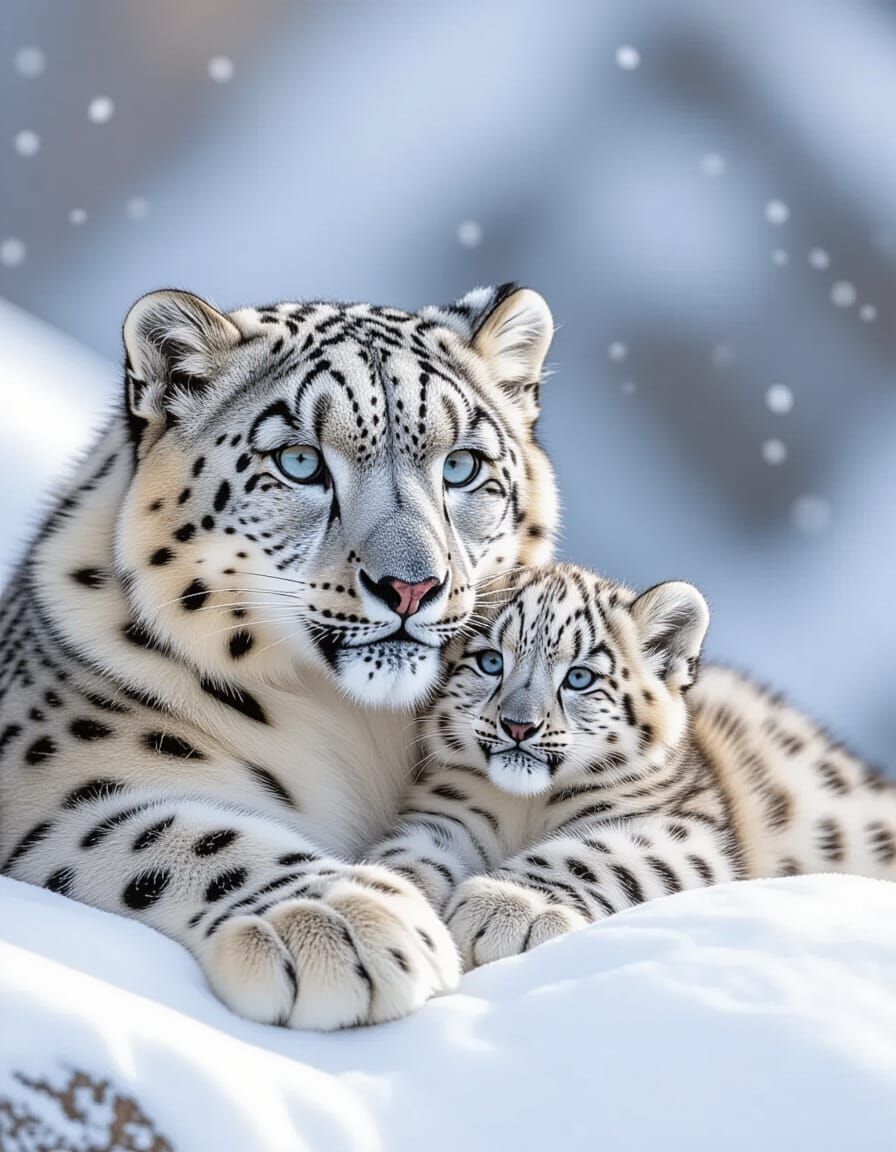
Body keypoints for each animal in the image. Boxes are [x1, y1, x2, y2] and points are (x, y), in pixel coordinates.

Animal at [0, 282, 559, 1029]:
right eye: (300, 462)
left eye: (462, 465)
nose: (412, 585)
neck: (367, 733)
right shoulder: (51, 785)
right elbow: (175, 835)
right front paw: (341, 922)